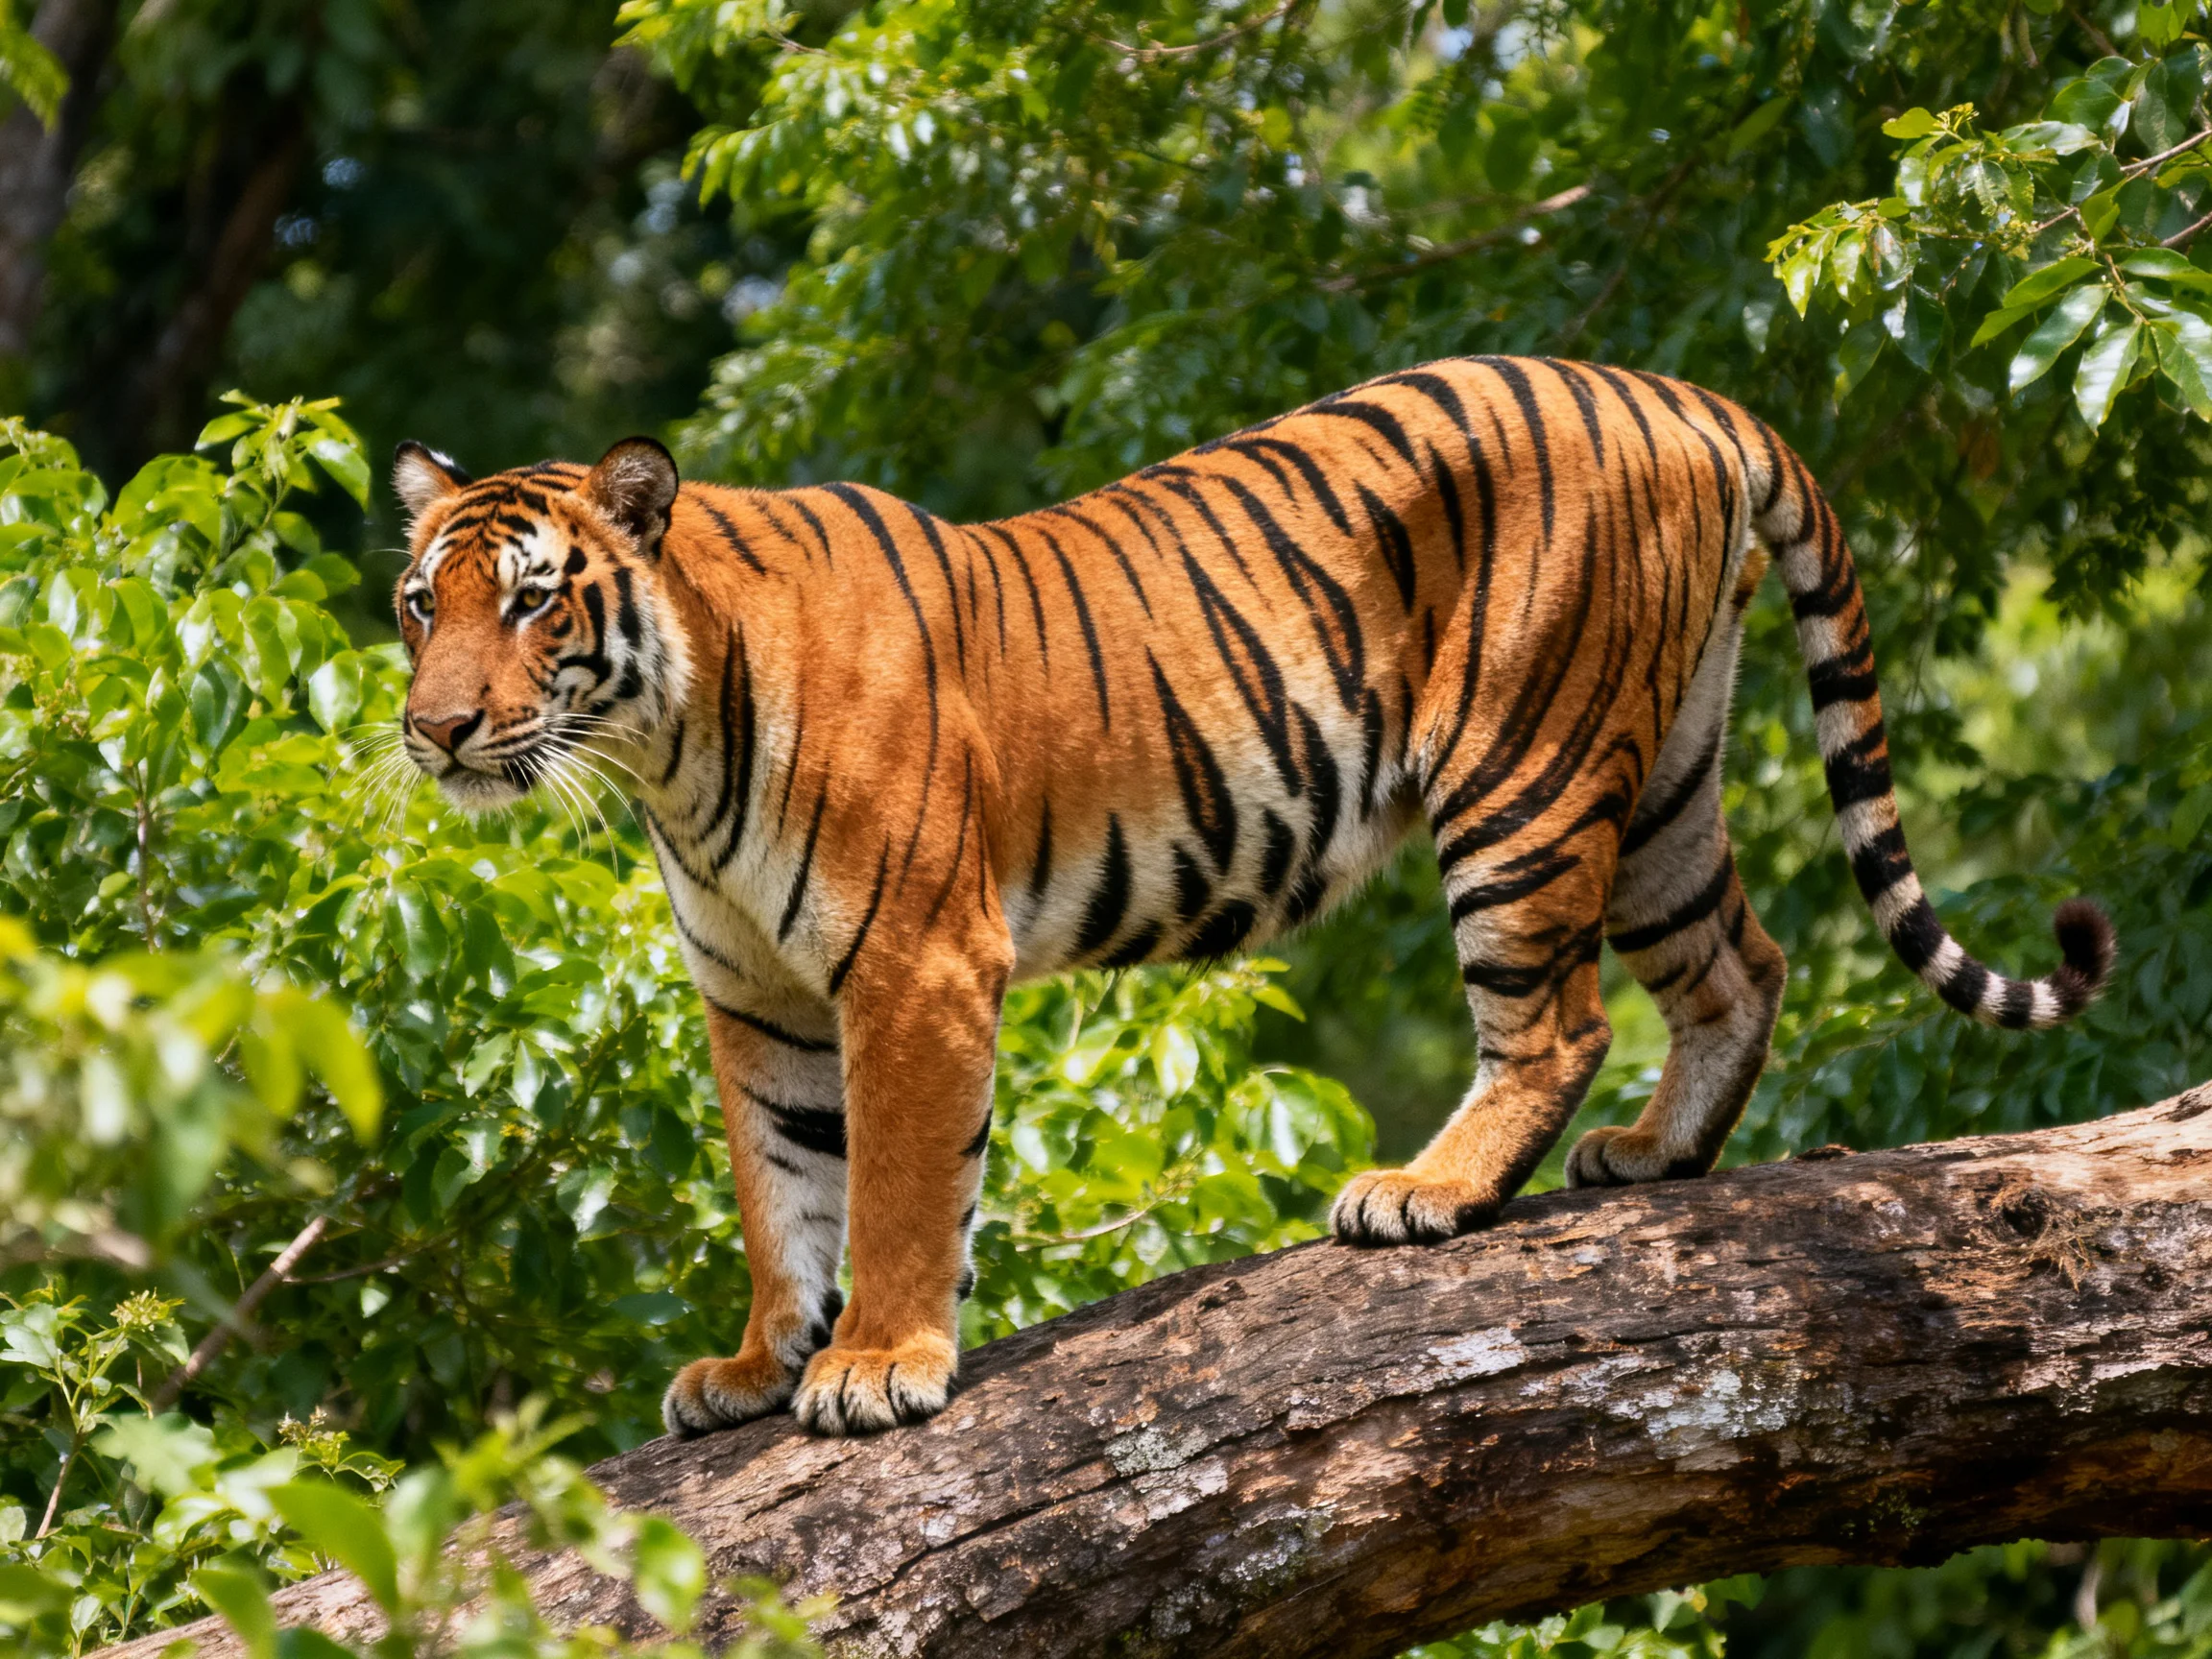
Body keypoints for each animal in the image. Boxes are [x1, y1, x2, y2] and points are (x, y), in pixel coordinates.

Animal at [390, 355, 2115, 1438]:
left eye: (533, 603)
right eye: (421, 602)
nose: (435, 727)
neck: (668, 752)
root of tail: (1679, 392)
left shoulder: (912, 965)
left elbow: (891, 1189)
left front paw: (875, 1364)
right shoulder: (757, 1000)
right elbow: (781, 1191)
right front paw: (756, 1362)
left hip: (1525, 771)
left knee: (1554, 1017)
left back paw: (1425, 1191)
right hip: (1665, 778)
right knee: (1737, 965)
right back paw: (1655, 1156)